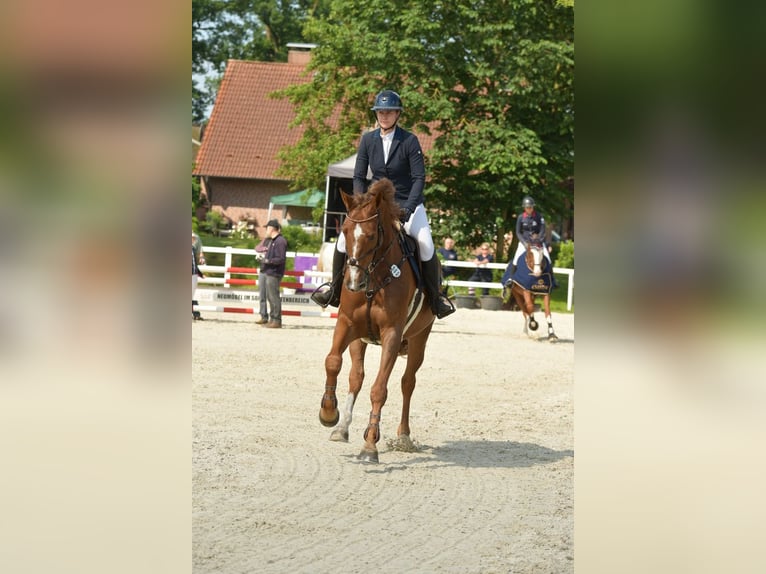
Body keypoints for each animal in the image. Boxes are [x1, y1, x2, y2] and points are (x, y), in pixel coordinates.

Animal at [320, 179, 438, 464]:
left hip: (419, 339)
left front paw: (370, 445)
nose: (353, 283)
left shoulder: (392, 336)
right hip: (360, 339)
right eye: (345, 232)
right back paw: (342, 428)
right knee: (356, 377)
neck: (373, 278)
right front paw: (329, 414)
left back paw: (404, 436)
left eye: (372, 236)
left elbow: (379, 389)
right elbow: (333, 362)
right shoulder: (347, 324)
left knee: (407, 383)